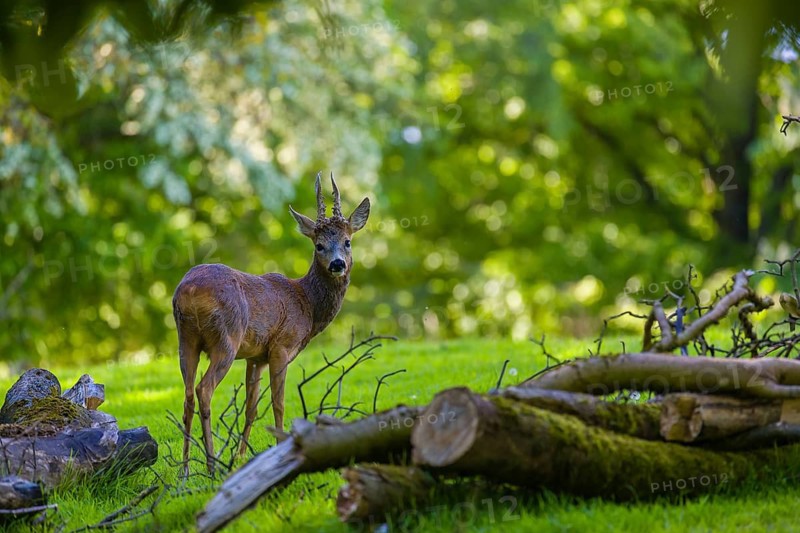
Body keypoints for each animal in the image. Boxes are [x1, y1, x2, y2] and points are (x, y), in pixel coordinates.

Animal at [172, 172, 370, 475]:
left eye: (348, 241)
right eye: (318, 245)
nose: (337, 264)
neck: (308, 305)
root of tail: (190, 290)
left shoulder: (256, 356)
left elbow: (251, 407)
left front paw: (241, 456)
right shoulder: (281, 346)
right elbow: (279, 402)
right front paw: (280, 449)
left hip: (186, 340)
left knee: (187, 396)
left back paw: (185, 468)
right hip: (226, 338)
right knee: (203, 390)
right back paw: (211, 464)